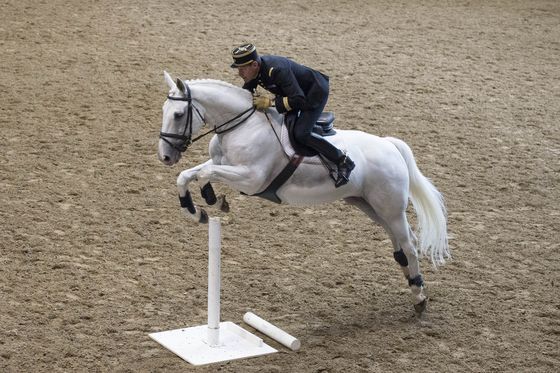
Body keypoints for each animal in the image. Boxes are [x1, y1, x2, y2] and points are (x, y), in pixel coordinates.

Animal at [158, 71, 450, 312]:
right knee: (402, 243)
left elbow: (204, 175)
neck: (242, 126)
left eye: (178, 115)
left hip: (390, 209)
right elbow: (187, 176)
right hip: (370, 206)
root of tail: (390, 146)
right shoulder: (221, 163)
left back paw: (419, 296)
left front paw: (212, 200)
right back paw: (413, 283)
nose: (165, 156)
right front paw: (196, 212)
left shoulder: (251, 180)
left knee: (409, 244)